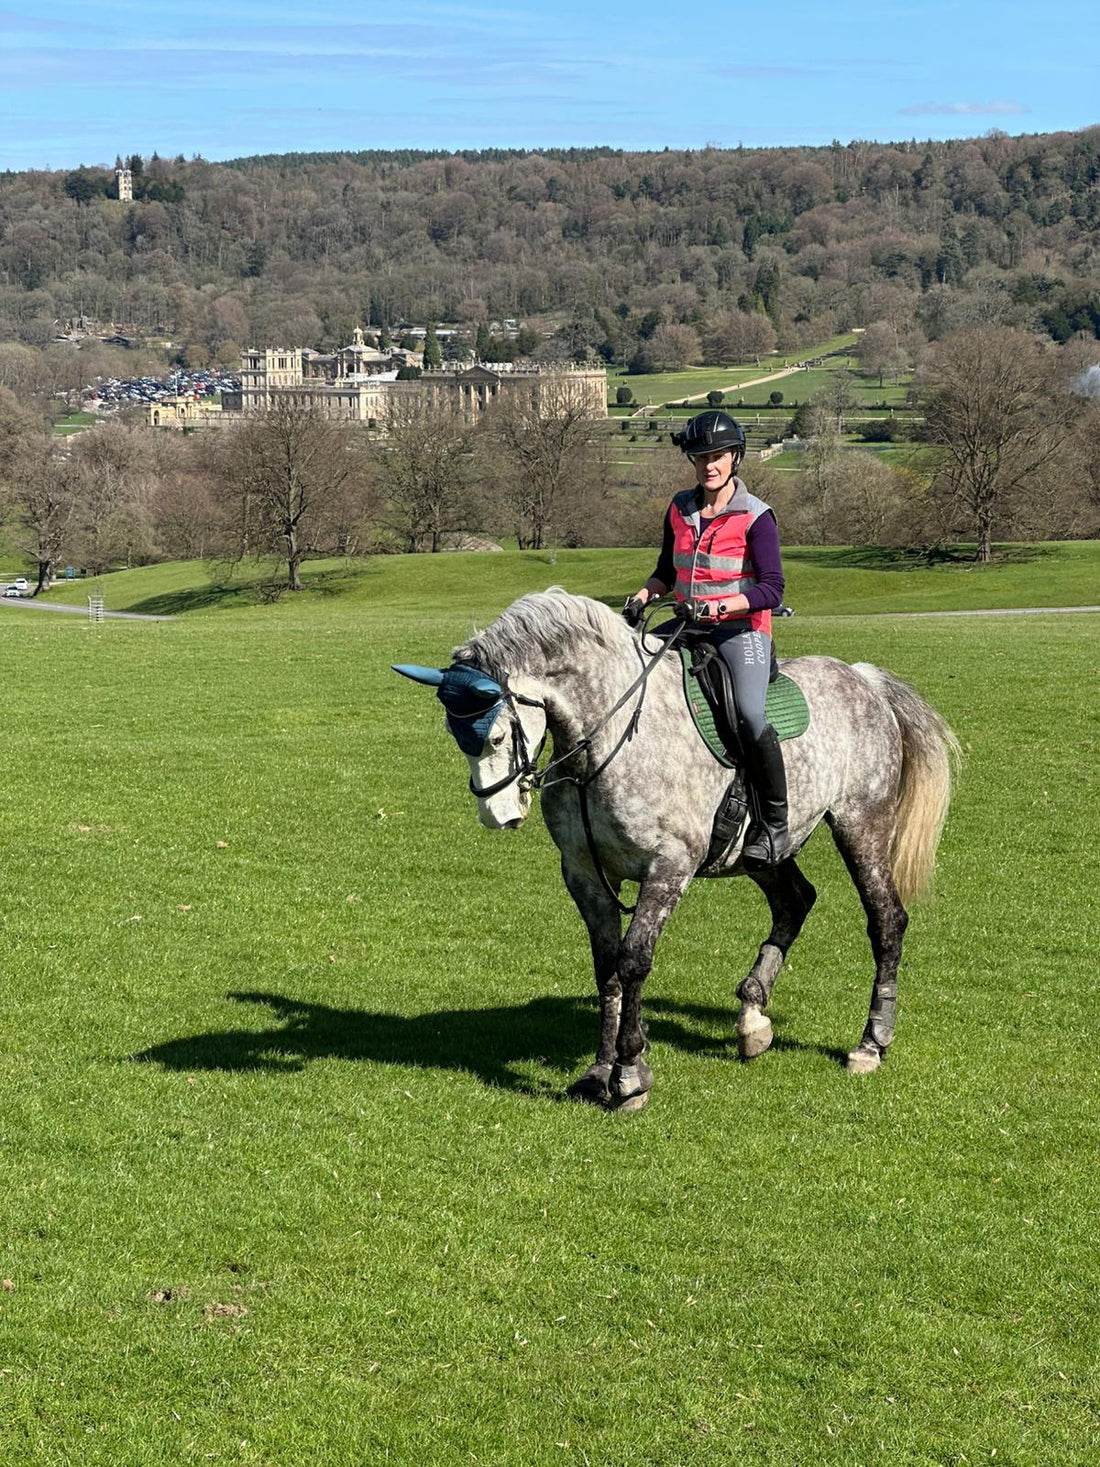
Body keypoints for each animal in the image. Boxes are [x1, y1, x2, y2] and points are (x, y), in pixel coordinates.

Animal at [394, 589, 959, 1111]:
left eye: (493, 737)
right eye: (455, 735)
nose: (498, 815)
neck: (610, 740)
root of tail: (863, 678)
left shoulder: (668, 867)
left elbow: (633, 960)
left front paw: (629, 1075)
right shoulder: (584, 873)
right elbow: (606, 966)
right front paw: (599, 1070)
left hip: (862, 826)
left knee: (886, 921)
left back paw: (871, 1042)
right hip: (758, 853)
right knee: (794, 901)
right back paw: (752, 1018)